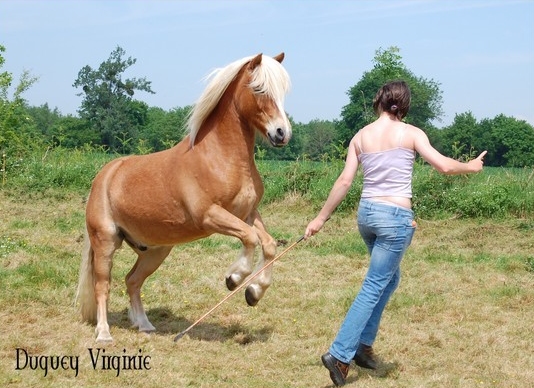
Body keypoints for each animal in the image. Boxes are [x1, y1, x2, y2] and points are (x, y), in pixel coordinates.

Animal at [77, 52, 292, 342]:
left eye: (283, 92)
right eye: (259, 89)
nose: (282, 133)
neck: (219, 157)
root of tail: (105, 174)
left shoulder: (247, 213)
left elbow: (268, 244)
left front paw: (253, 293)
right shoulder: (211, 216)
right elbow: (250, 238)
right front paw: (234, 278)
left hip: (155, 251)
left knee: (132, 280)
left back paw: (145, 325)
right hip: (106, 242)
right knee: (103, 285)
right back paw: (103, 333)